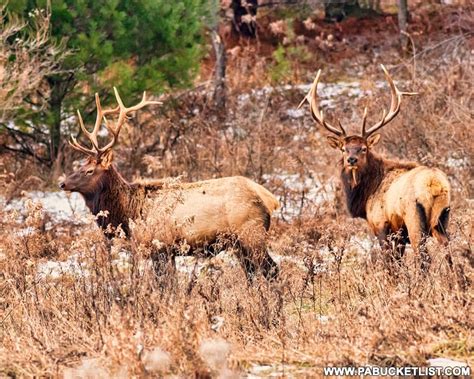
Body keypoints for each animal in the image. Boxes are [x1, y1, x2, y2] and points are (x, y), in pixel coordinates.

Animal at [60, 87, 280, 280]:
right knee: (251, 272)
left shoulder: (160, 246)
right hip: (239, 243)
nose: (62, 183)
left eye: (89, 171)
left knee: (272, 270)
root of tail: (270, 199)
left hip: (251, 234)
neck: (128, 214)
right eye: (80, 165)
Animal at [300, 66, 452, 274]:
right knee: (449, 252)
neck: (365, 196)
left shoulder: (382, 226)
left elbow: (391, 265)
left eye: (364, 148)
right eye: (343, 148)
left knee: (424, 258)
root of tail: (434, 186)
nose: (351, 159)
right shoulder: (398, 234)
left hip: (414, 219)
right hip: (442, 219)